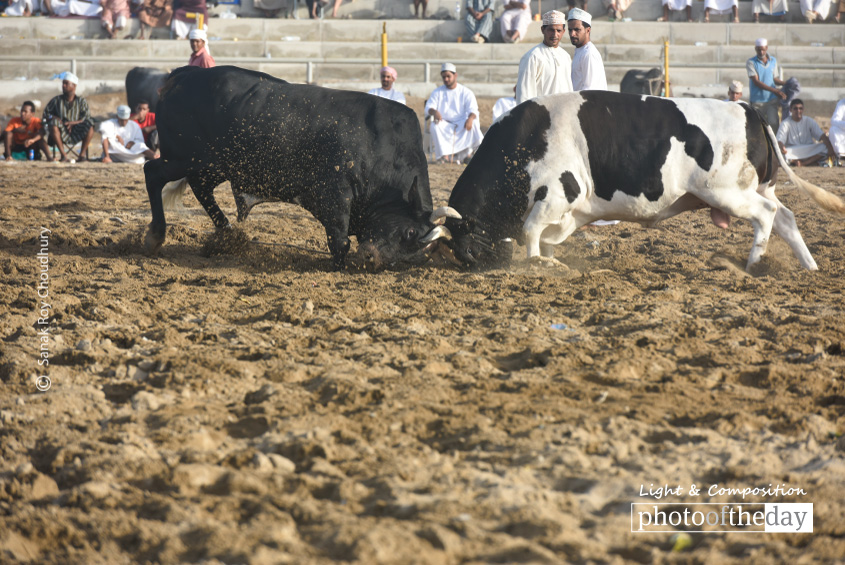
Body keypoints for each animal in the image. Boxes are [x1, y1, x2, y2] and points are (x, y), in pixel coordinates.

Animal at [143, 63, 454, 268]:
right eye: (410, 233)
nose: (371, 259)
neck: (381, 142)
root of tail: (185, 74)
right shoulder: (336, 193)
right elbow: (339, 239)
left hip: (211, 166)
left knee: (201, 190)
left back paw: (228, 234)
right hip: (184, 159)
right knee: (152, 173)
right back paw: (156, 236)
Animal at [436, 91, 844, 270]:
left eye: (466, 245)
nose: (479, 263)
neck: (527, 141)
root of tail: (747, 108)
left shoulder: (558, 193)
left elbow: (532, 229)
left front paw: (536, 263)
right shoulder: (569, 209)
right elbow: (550, 234)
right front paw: (549, 258)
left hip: (728, 193)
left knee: (766, 215)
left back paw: (754, 261)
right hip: (755, 187)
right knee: (786, 216)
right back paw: (809, 266)